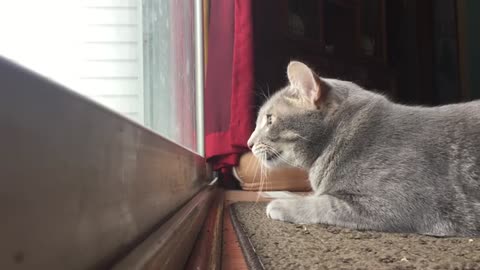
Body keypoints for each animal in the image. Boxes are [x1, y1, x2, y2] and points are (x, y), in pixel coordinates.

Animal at [248, 60, 480, 236]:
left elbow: (321, 204)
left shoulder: (390, 205)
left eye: (269, 120)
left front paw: (281, 203)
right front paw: (281, 194)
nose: (249, 143)